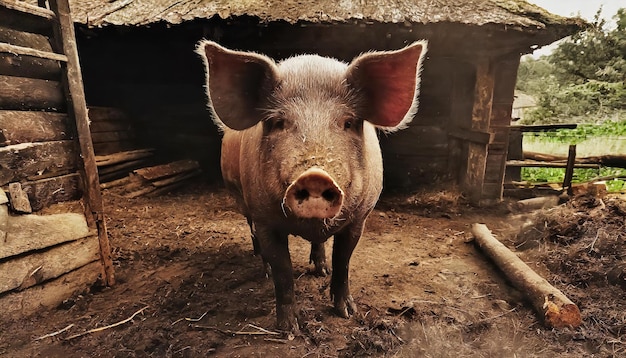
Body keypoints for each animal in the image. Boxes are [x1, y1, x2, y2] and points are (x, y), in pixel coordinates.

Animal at [197, 39, 426, 332]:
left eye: (348, 122)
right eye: (279, 122)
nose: (315, 175)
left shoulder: (359, 219)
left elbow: (343, 262)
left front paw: (347, 312)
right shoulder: (264, 219)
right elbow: (283, 271)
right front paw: (288, 329)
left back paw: (320, 270)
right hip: (241, 199)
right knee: (253, 234)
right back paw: (264, 270)